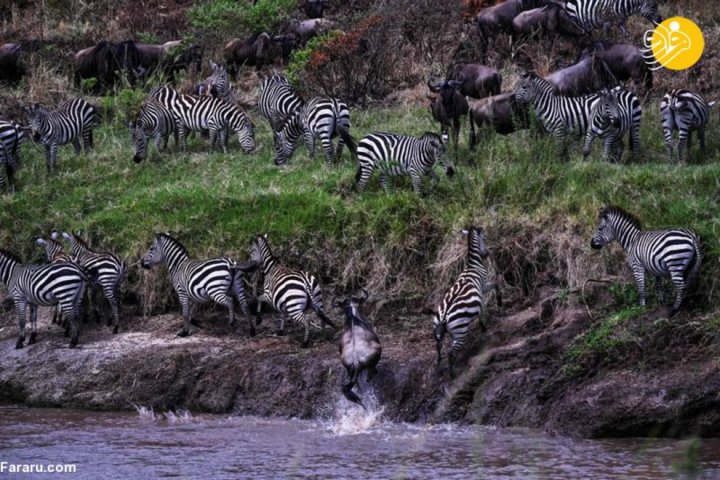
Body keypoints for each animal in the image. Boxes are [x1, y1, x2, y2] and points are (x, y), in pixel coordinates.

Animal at [434, 227, 500, 376]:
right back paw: (452, 374)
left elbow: (482, 310)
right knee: (451, 352)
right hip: (460, 332)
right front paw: (500, 304)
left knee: (439, 349)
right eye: (485, 239)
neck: (472, 265)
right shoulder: (483, 287)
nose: (487, 254)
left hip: (439, 333)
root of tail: (444, 317)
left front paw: (484, 328)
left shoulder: (480, 294)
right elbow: (495, 286)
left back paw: (439, 365)